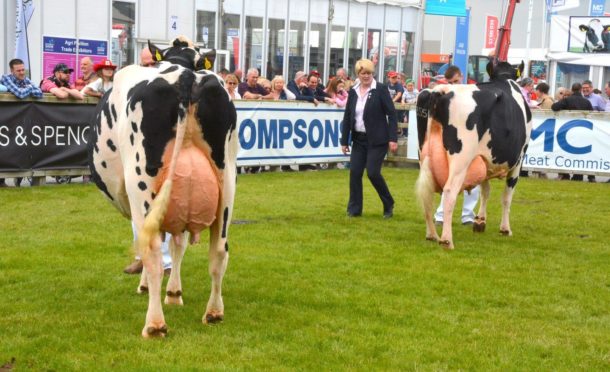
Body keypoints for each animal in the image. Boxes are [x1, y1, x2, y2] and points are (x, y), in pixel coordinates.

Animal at [88, 37, 235, 338]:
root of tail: (187, 76)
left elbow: (147, 240)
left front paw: (147, 286)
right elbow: (179, 245)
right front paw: (174, 293)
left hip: (141, 182)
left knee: (153, 249)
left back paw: (154, 325)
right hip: (227, 178)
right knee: (219, 249)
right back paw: (214, 313)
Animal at [416, 61, 528, 250]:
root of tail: (442, 90)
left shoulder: (484, 158)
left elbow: (485, 190)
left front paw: (480, 221)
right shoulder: (518, 161)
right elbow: (506, 197)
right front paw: (505, 229)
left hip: (424, 156)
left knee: (427, 193)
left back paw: (432, 235)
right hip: (461, 158)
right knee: (449, 192)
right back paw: (446, 240)